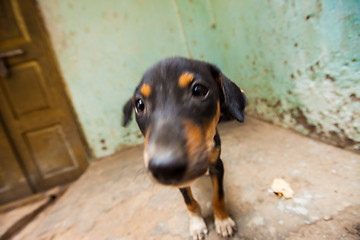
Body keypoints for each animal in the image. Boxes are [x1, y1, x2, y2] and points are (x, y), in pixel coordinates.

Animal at [123, 57, 245, 239]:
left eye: (199, 90)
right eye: (139, 104)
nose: (163, 168)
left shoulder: (217, 164)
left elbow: (218, 195)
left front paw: (223, 220)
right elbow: (189, 201)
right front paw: (197, 223)